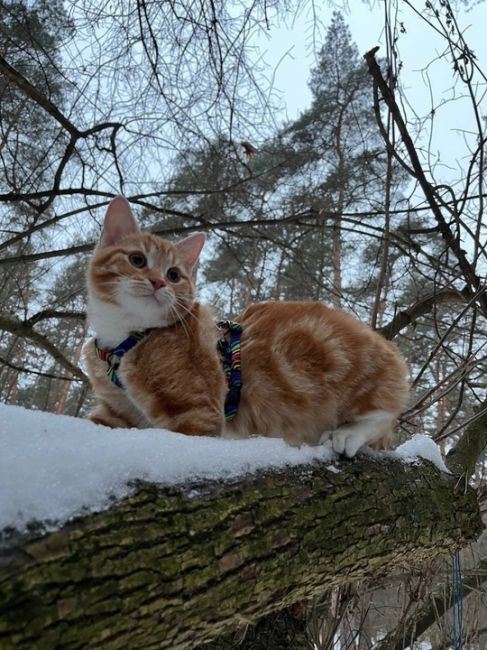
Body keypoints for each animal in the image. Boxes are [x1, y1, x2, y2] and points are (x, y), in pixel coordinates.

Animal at [86, 197, 410, 456]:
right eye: (137, 260)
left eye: (174, 274)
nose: (158, 282)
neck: (127, 337)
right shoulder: (117, 412)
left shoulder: (195, 413)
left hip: (352, 363)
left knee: (384, 412)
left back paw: (347, 433)